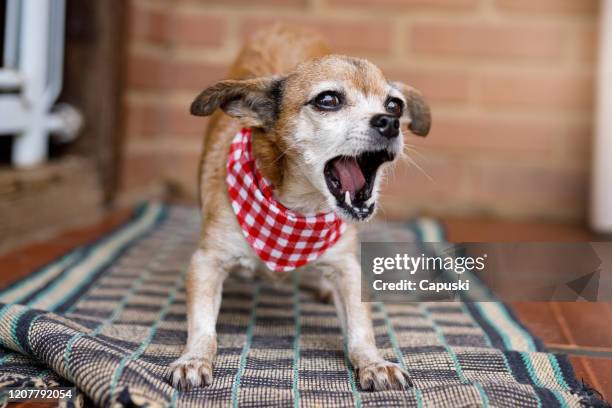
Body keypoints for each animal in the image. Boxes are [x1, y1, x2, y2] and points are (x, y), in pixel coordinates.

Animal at [170, 26, 432, 392]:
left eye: (395, 105)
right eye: (328, 100)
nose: (390, 122)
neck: (298, 210)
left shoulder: (347, 268)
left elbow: (360, 326)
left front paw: (373, 362)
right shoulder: (207, 261)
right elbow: (202, 324)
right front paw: (194, 357)